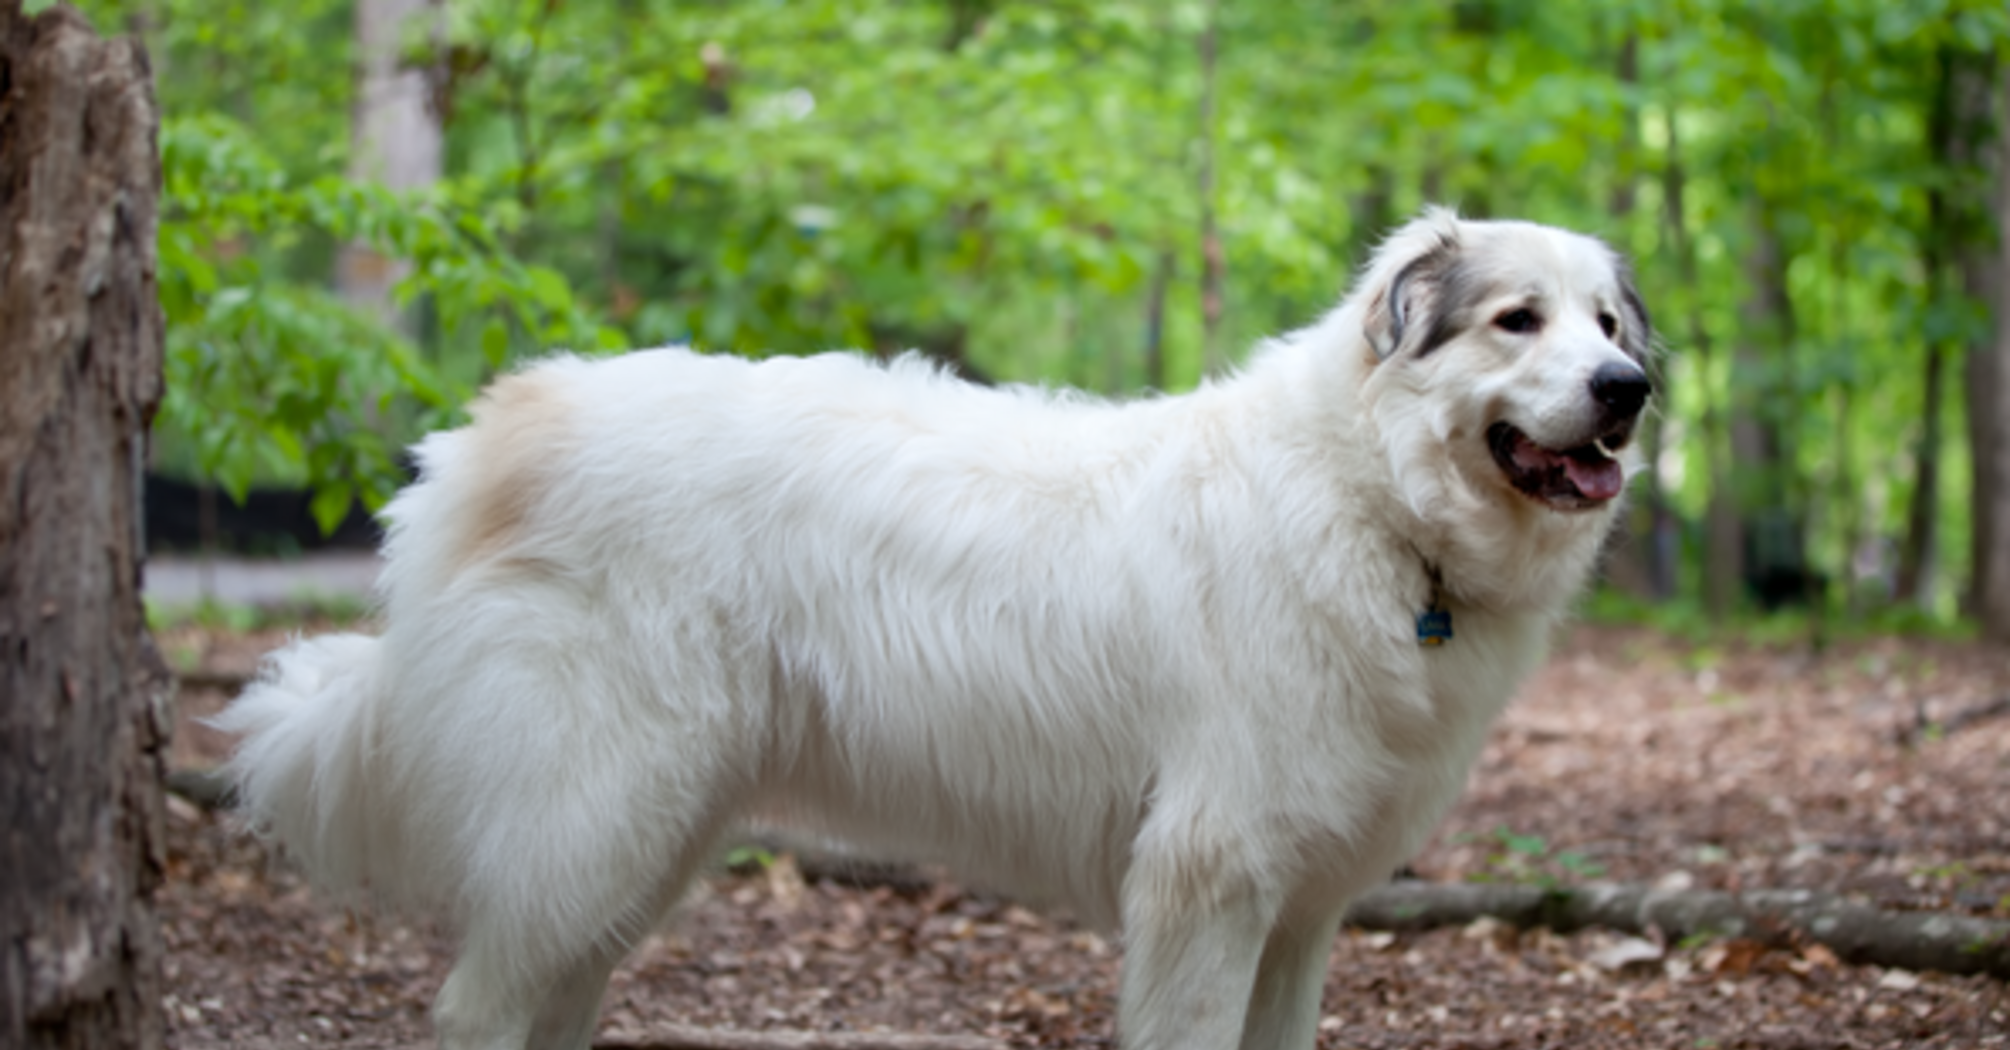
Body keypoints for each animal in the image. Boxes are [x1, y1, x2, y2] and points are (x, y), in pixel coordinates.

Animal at [220, 210, 1656, 1045]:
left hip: (638, 837)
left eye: (1604, 322)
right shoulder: (1208, 881)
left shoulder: (1297, 911)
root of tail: (494, 430)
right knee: (479, 1005)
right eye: (1515, 320)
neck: (1373, 502)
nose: (1629, 388)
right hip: (598, 812)